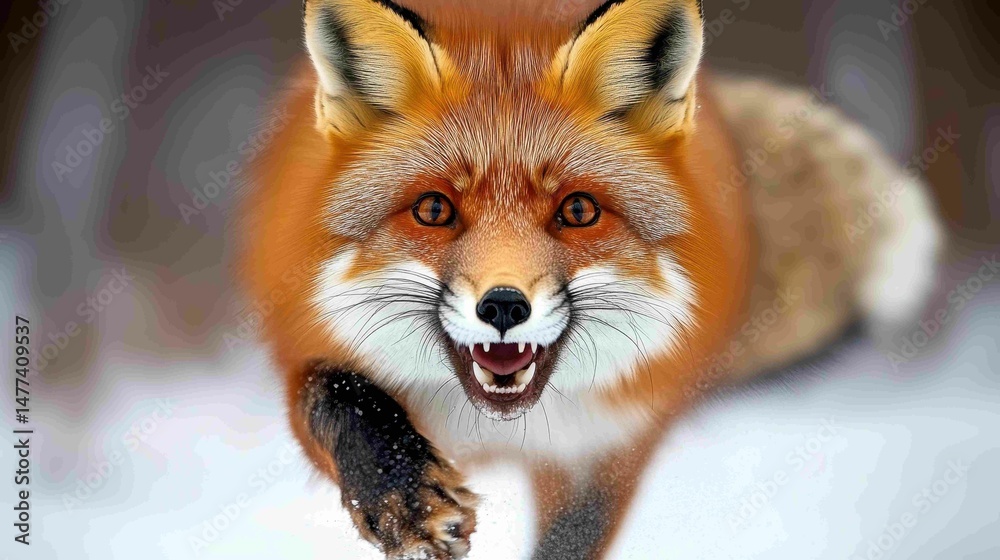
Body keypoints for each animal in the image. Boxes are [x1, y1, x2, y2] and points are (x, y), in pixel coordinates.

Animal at [239, 0, 943, 558]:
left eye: (577, 211)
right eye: (433, 210)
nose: (503, 306)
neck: (496, 429)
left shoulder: (612, 445)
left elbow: (571, 539)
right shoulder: (307, 347)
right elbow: (340, 398)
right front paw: (405, 503)